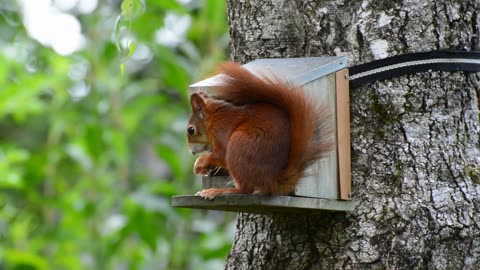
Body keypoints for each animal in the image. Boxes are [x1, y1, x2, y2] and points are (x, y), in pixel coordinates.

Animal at [186, 62, 332, 199]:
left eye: (191, 130)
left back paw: (218, 191)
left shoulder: (222, 131)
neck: (214, 119)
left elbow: (221, 154)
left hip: (238, 145)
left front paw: (200, 163)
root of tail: (272, 181)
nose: (192, 152)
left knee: (245, 189)